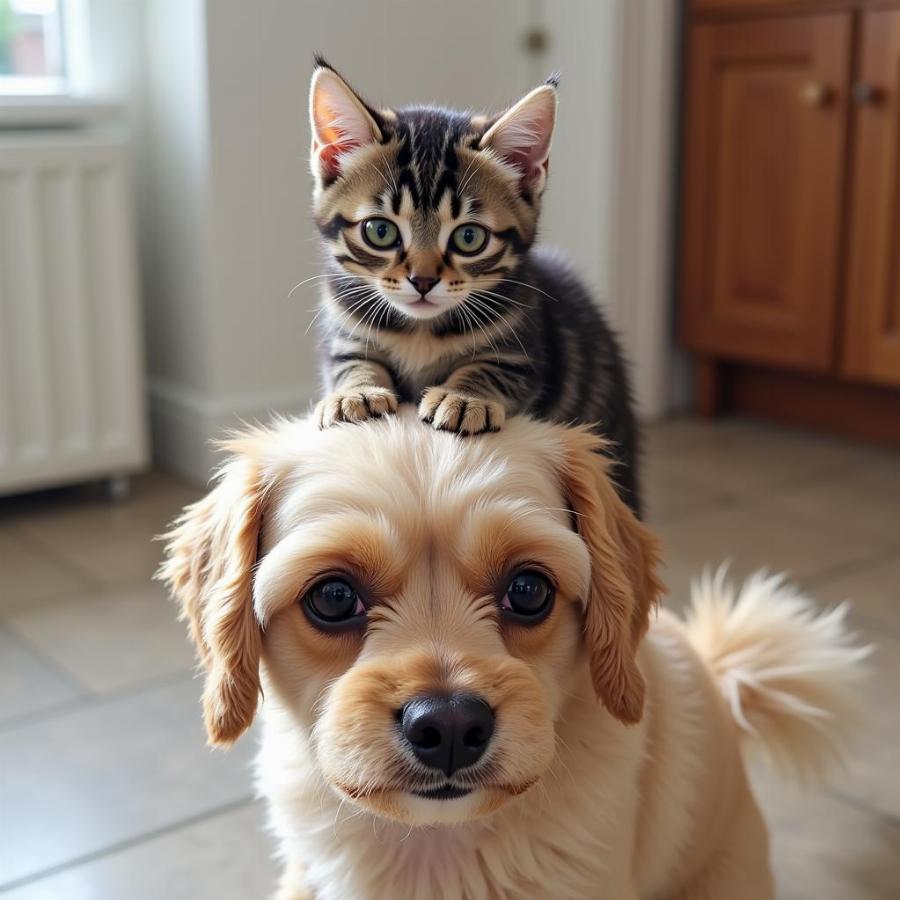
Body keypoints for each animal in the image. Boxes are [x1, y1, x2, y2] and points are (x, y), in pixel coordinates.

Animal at [308, 58, 640, 512]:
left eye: (469, 237)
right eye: (380, 231)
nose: (423, 280)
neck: (420, 332)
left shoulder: (526, 350)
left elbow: (490, 368)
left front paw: (463, 398)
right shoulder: (342, 331)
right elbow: (351, 362)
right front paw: (355, 393)